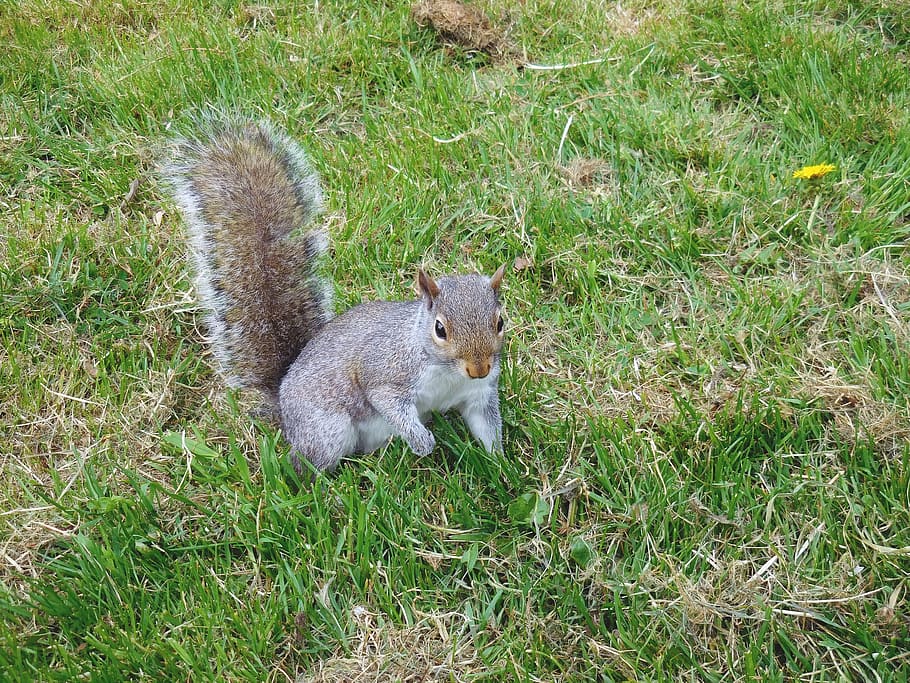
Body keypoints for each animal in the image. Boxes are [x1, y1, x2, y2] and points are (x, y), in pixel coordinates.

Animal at [162, 119, 506, 473]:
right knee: (306, 463)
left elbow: (486, 426)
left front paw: (500, 465)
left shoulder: (479, 393)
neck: (447, 372)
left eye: (500, 323)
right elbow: (388, 402)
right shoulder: (385, 372)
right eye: (440, 329)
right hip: (326, 430)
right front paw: (422, 443)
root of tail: (283, 405)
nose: (479, 368)